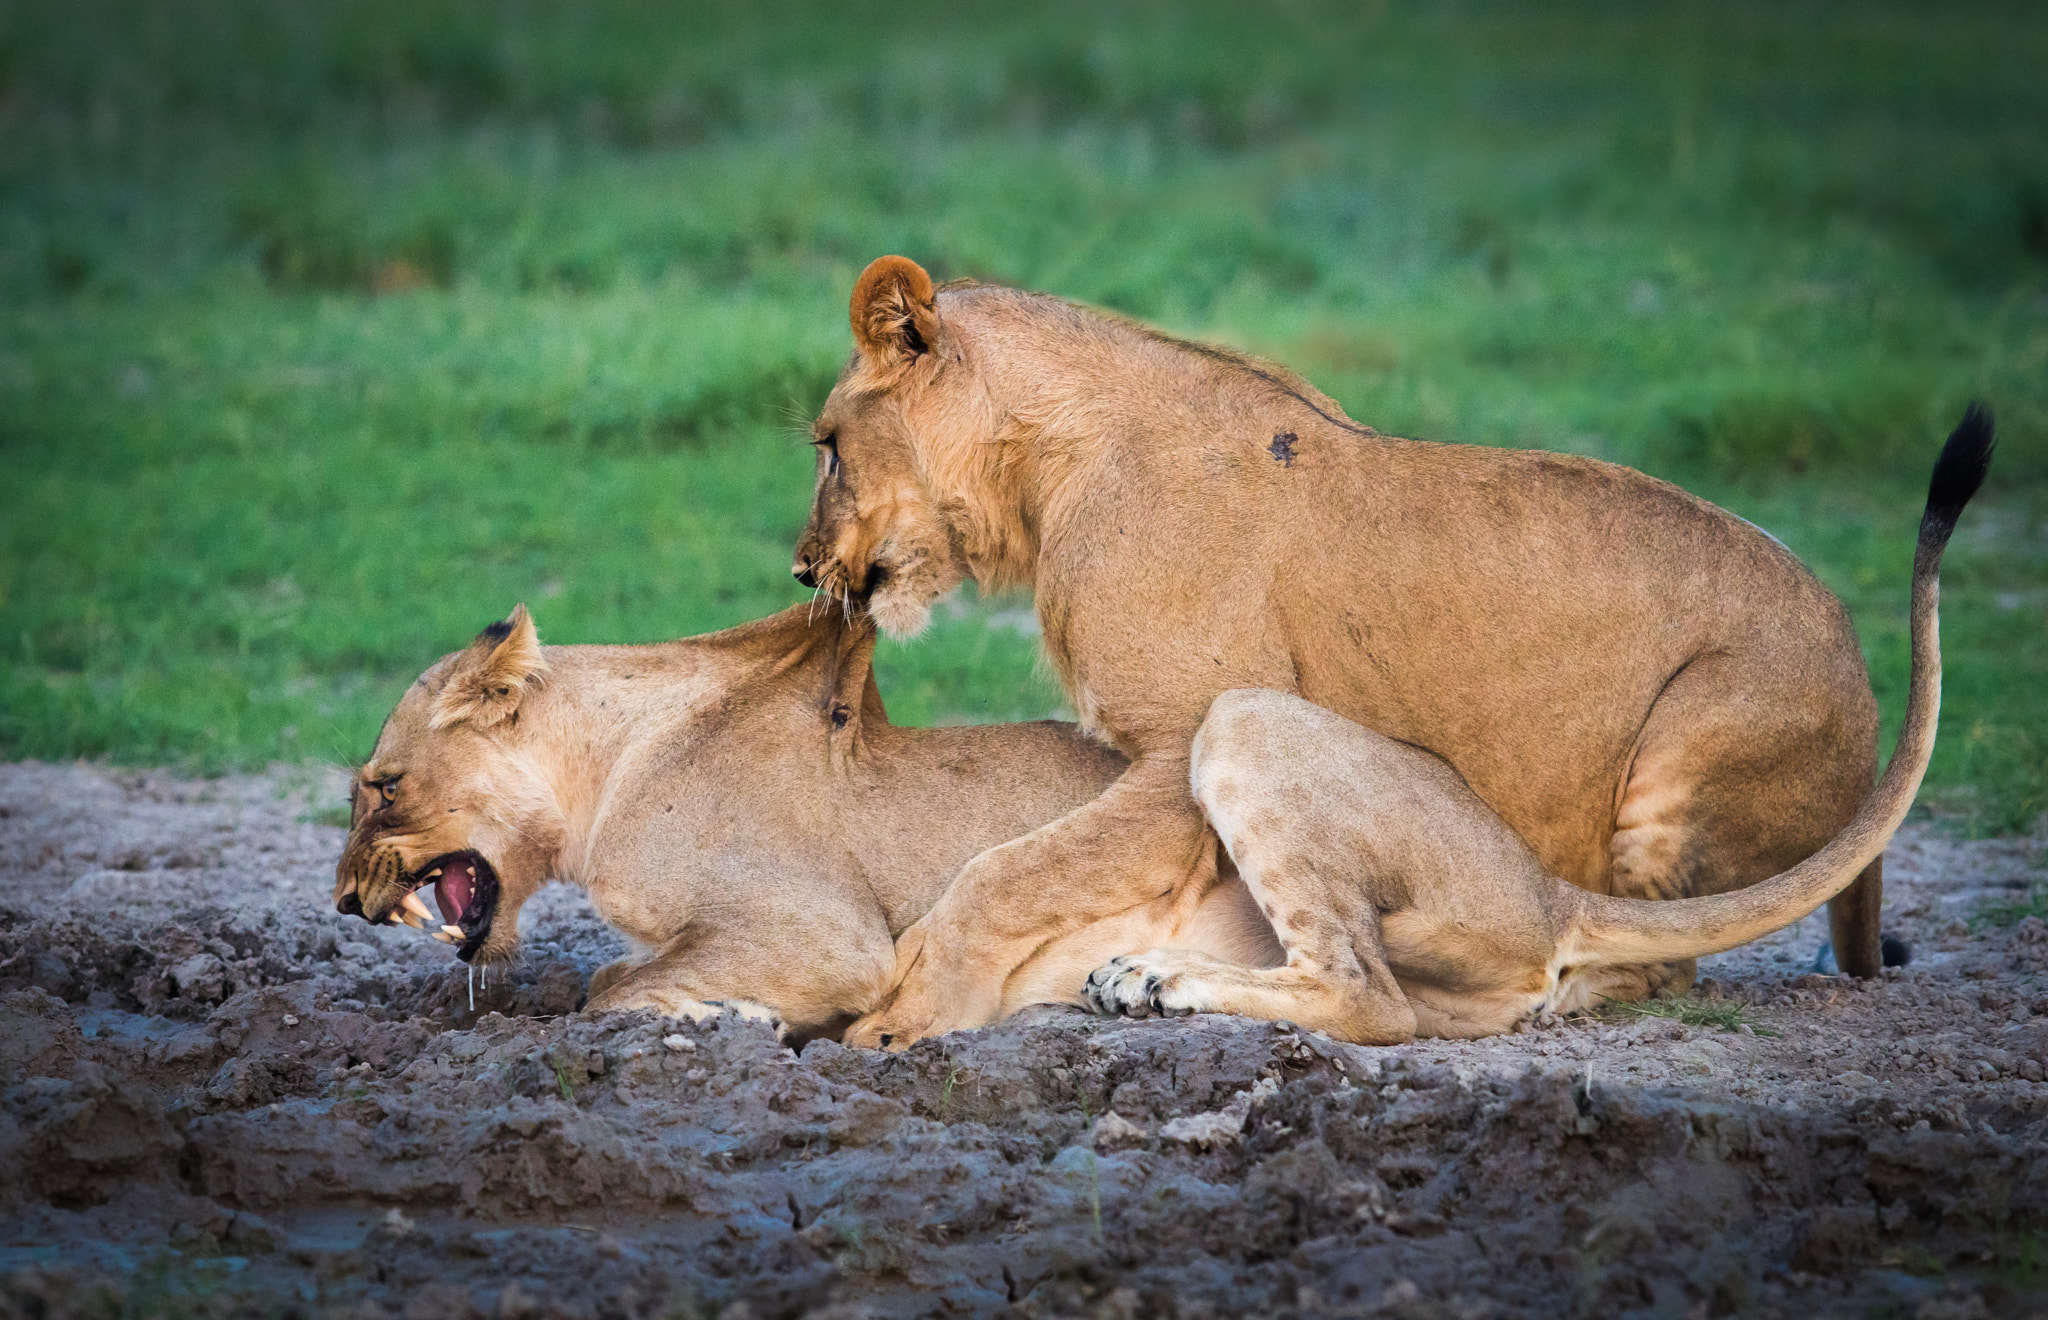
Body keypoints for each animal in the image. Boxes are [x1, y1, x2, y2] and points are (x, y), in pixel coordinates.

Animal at [790, 252, 1990, 1043]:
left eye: (828, 445)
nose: (803, 571)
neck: (1041, 474)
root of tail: (1867, 697)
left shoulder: (1176, 746)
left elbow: (1002, 871)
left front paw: (901, 1011)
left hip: (1676, 759)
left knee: (1644, 971)